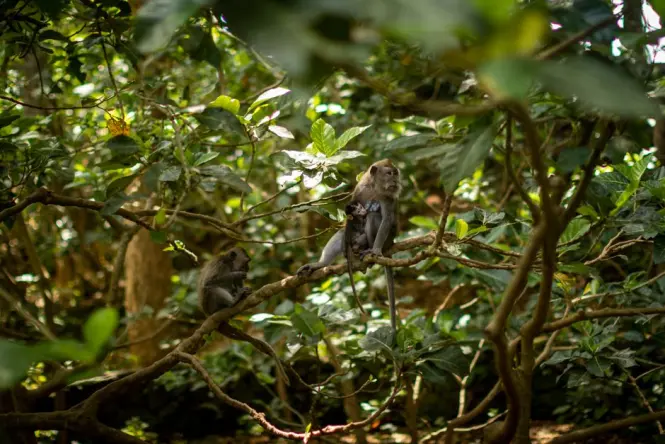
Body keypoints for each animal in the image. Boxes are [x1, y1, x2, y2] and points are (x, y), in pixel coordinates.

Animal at [198, 247, 289, 385]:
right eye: (247, 261)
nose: (248, 268)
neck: (229, 264)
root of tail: (208, 314)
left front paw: (245, 290)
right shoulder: (220, 264)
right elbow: (208, 283)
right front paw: (235, 275)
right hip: (211, 305)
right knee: (211, 288)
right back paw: (233, 301)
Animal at [297, 159, 402, 336]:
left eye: (396, 173)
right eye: (389, 173)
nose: (396, 181)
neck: (374, 187)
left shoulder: (387, 197)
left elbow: (387, 218)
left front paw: (375, 250)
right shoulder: (359, 189)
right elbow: (349, 218)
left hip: (388, 240)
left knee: (374, 217)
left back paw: (370, 252)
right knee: (342, 233)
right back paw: (321, 264)